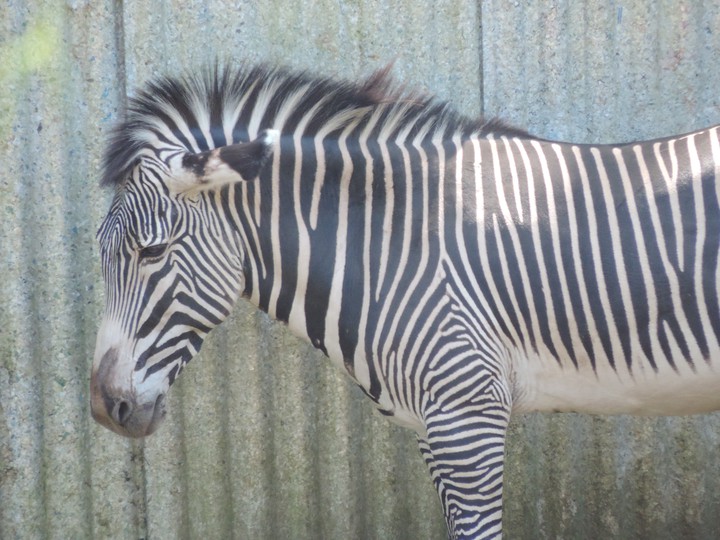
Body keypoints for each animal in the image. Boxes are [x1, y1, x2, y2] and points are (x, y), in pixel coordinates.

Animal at [90, 63, 720, 539]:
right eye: (101, 250)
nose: (103, 408)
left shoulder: (468, 415)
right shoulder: (432, 426)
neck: (390, 248)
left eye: (152, 251)